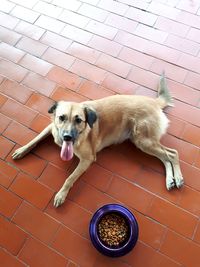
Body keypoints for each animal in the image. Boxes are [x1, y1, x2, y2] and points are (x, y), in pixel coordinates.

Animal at [12, 74, 184, 208]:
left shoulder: (87, 159)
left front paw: (61, 194)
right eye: (61, 118)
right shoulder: (51, 128)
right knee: (165, 157)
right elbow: (35, 138)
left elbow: (70, 178)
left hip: (143, 141)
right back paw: (170, 180)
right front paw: (21, 150)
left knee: (173, 153)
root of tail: (154, 102)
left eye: (79, 120)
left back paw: (178, 178)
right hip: (144, 142)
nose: (67, 137)